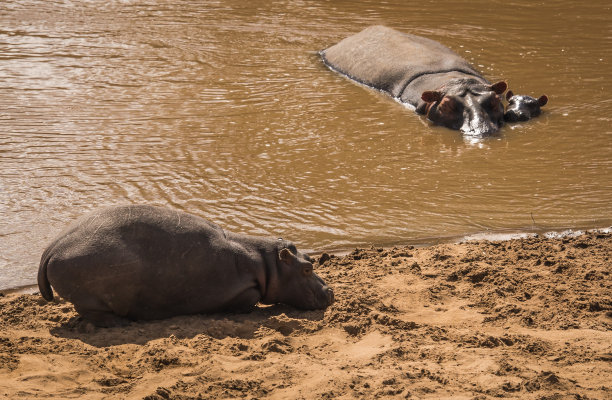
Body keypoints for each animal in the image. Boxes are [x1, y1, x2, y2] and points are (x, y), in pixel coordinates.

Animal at [37, 205, 334, 326]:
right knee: (92, 313)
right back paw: (119, 324)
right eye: (307, 268)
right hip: (92, 296)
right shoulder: (243, 290)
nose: (330, 291)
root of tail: (51, 248)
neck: (266, 263)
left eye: (310, 260)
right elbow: (248, 301)